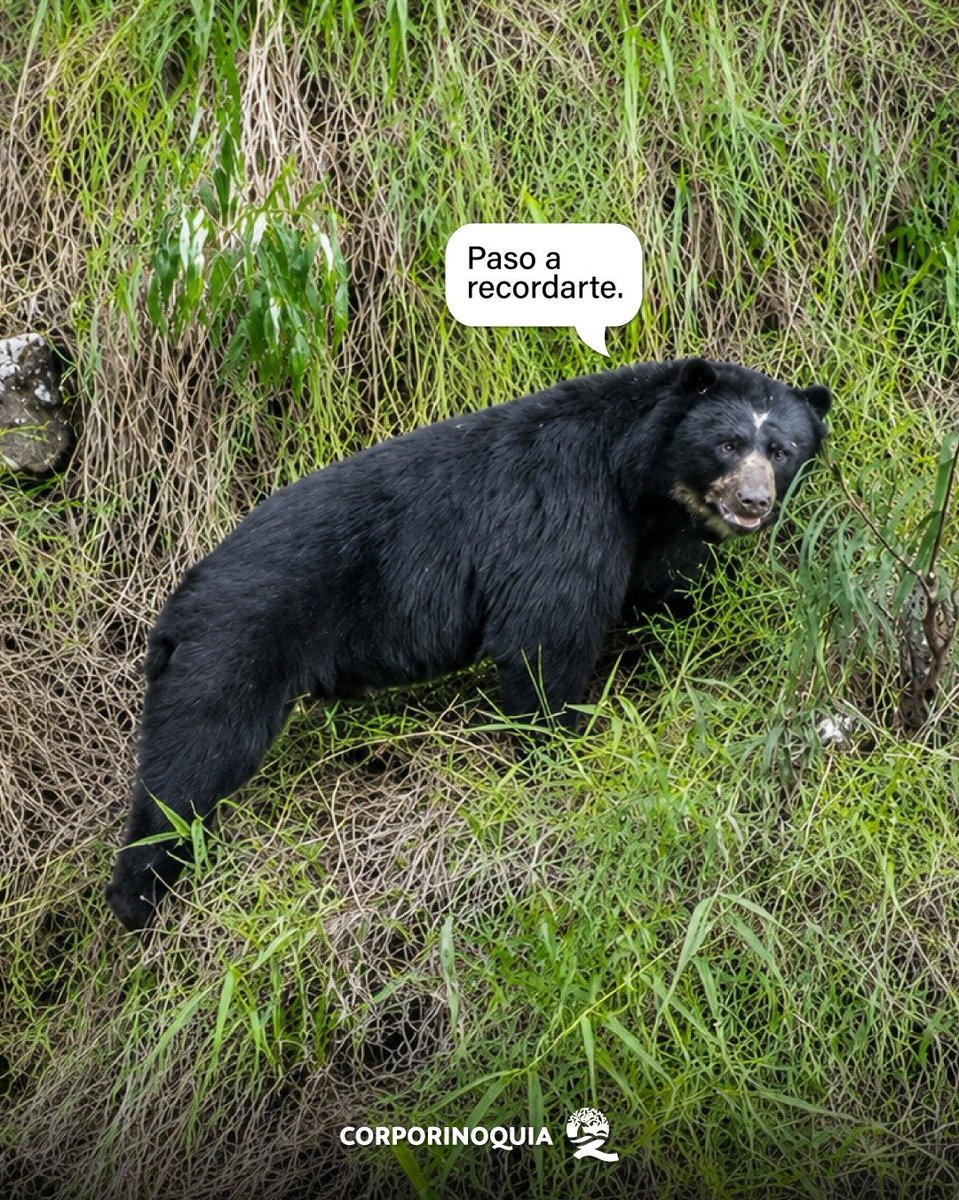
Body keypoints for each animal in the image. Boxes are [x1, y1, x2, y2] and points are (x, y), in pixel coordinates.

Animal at [106, 357, 831, 930]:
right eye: (728, 444)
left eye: (782, 451)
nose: (753, 502)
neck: (640, 479)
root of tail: (175, 606)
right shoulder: (564, 514)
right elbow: (547, 637)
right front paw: (557, 756)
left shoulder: (656, 532)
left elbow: (669, 590)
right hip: (235, 649)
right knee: (194, 757)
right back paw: (138, 894)